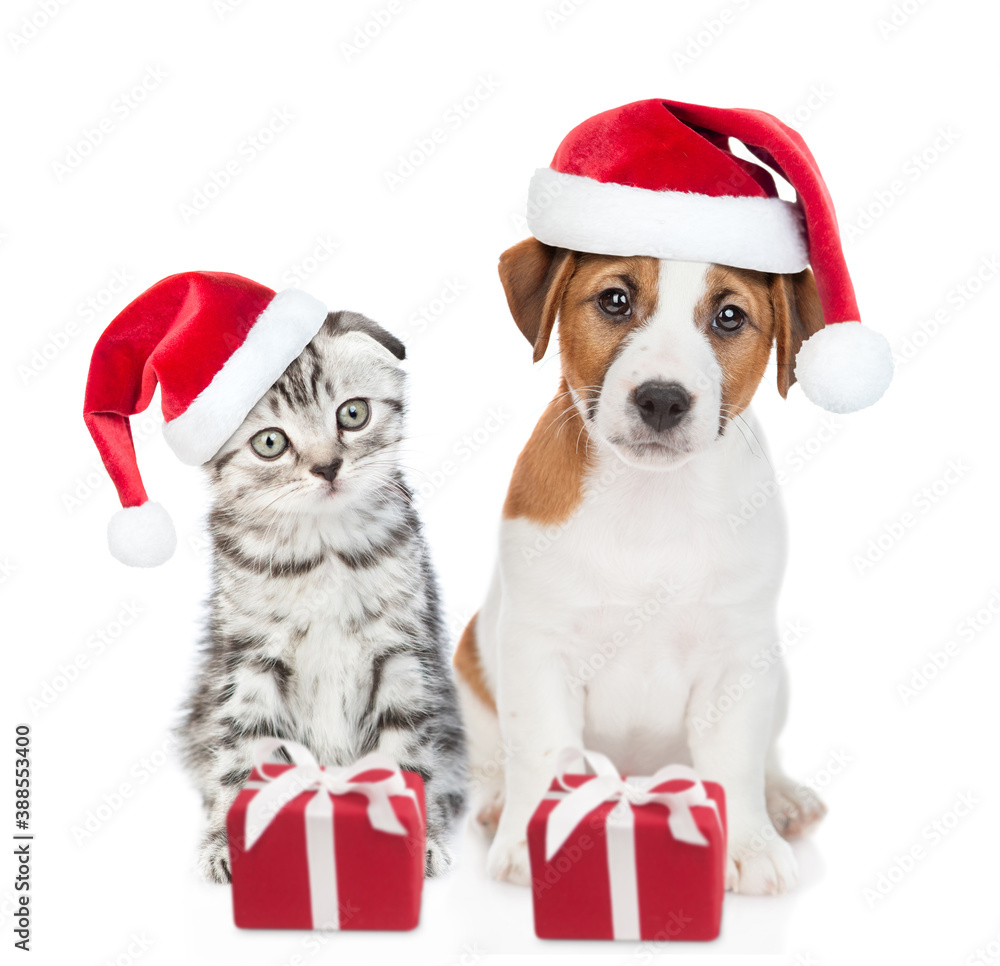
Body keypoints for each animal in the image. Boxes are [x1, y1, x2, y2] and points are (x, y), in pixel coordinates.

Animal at [181, 312, 468, 884]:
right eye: (271, 443)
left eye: (352, 414)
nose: (328, 467)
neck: (323, 549)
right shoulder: (249, 658)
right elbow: (244, 750)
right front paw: (229, 838)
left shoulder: (401, 652)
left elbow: (406, 749)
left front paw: (416, 835)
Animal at [452, 100, 892, 900]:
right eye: (615, 300)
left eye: (729, 318)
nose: (662, 398)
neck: (648, 503)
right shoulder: (538, 649)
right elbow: (543, 752)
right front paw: (531, 836)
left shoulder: (736, 659)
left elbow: (735, 762)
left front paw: (747, 841)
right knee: (496, 752)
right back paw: (497, 798)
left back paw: (783, 798)